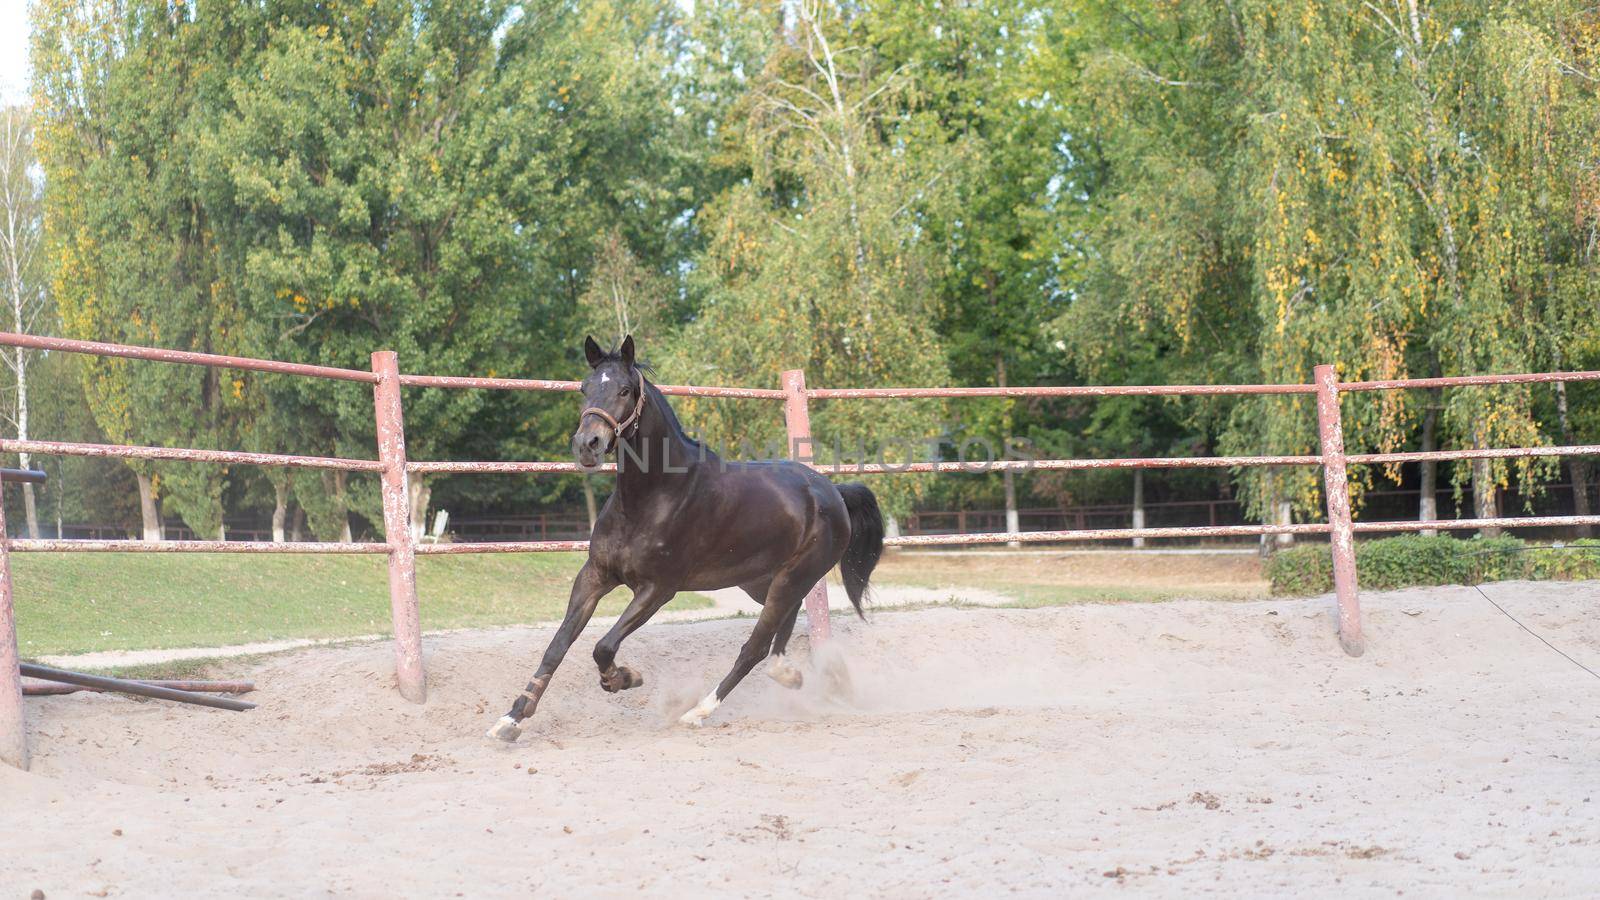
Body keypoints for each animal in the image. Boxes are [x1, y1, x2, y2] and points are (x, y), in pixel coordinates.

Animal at [489, 333, 889, 739]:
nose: (588, 444)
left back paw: (697, 711)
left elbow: (603, 646)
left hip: (794, 576)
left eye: (624, 390)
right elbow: (557, 645)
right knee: (782, 624)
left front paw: (623, 678)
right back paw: (788, 675)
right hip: (763, 581)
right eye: (584, 389)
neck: (653, 497)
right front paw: (511, 719)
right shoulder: (594, 576)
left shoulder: (658, 589)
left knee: (754, 647)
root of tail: (833, 492)